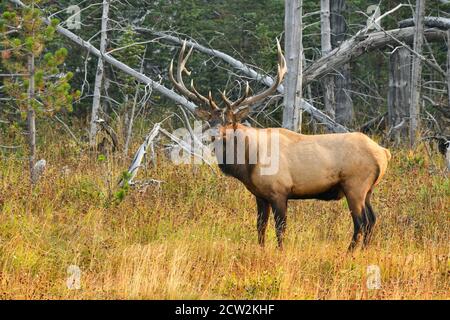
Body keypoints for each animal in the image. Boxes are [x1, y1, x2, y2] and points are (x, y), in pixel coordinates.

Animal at [169, 39, 390, 250]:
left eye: (230, 122)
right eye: (211, 120)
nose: (213, 134)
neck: (248, 164)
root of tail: (384, 153)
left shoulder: (279, 191)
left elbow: (280, 228)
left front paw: (280, 252)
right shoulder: (260, 195)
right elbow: (260, 227)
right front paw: (261, 250)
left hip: (355, 185)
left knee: (361, 222)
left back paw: (349, 252)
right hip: (368, 190)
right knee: (372, 220)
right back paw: (363, 250)